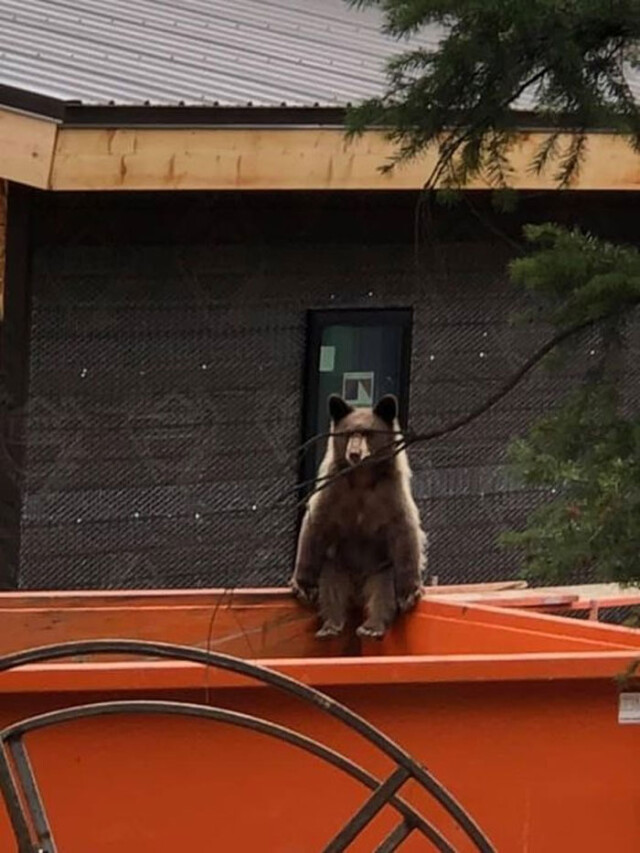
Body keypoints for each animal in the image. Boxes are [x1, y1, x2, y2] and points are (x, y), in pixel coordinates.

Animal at [292, 392, 428, 640]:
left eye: (368, 432)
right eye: (347, 433)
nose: (354, 453)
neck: (362, 477)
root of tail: (356, 591)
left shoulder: (390, 492)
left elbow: (405, 530)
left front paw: (410, 593)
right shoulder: (333, 487)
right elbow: (315, 524)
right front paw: (303, 586)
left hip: (381, 568)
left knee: (383, 592)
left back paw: (371, 627)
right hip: (337, 564)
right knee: (331, 588)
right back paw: (330, 626)